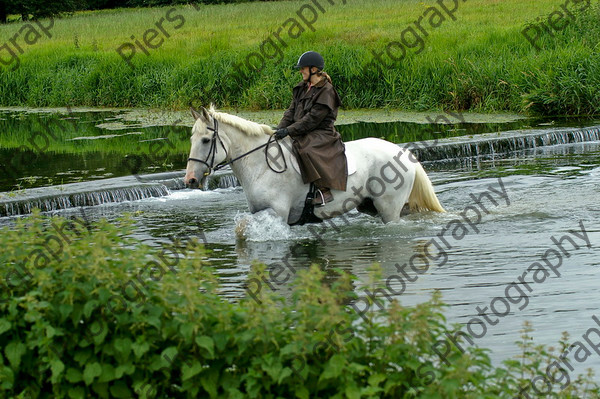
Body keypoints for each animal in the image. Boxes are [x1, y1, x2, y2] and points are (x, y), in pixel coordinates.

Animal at [184, 107, 446, 225]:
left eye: (205, 140)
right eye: (191, 138)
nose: (190, 180)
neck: (261, 166)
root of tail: (405, 153)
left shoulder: (277, 213)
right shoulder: (260, 212)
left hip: (389, 209)